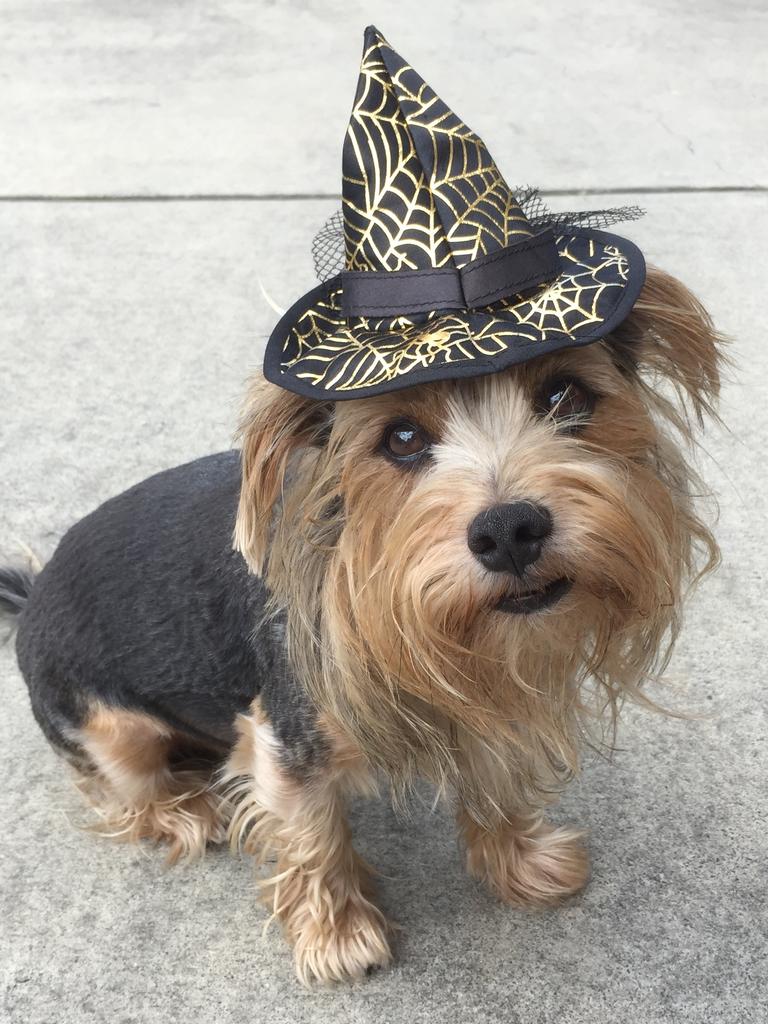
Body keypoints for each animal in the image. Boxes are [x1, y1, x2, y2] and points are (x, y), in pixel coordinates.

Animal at [0, 266, 724, 983]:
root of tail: (30, 599)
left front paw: (521, 861)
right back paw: (187, 810)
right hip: (106, 724)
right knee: (126, 786)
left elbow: (496, 782)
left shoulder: (486, 693)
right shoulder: (287, 738)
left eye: (564, 395)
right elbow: (313, 836)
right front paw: (338, 937)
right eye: (401, 438)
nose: (509, 530)